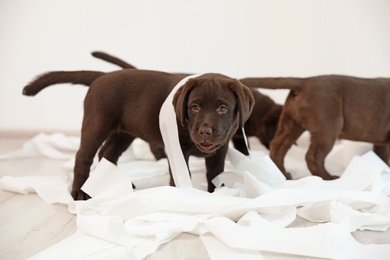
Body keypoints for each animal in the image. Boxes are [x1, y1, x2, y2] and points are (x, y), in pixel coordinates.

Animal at [24, 68, 256, 199]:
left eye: (223, 108)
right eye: (194, 107)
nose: (205, 131)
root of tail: (101, 76)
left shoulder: (220, 149)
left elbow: (215, 174)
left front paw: (217, 195)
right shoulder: (177, 150)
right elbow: (181, 175)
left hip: (124, 133)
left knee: (107, 154)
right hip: (97, 123)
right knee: (84, 156)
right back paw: (80, 191)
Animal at [242, 76, 390, 180]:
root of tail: (305, 81)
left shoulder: (381, 143)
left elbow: (381, 157)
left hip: (291, 124)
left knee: (277, 148)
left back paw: (283, 174)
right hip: (328, 127)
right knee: (313, 156)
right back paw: (328, 178)